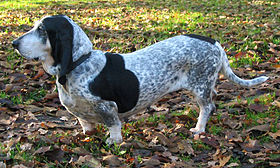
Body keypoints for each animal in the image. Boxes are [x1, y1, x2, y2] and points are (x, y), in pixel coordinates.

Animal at [12, 14, 268, 144]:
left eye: (42, 30)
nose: (14, 43)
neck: (80, 62)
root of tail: (214, 43)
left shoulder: (108, 107)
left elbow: (114, 127)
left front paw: (113, 143)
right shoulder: (80, 113)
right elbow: (86, 126)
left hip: (200, 86)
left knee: (207, 107)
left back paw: (198, 129)